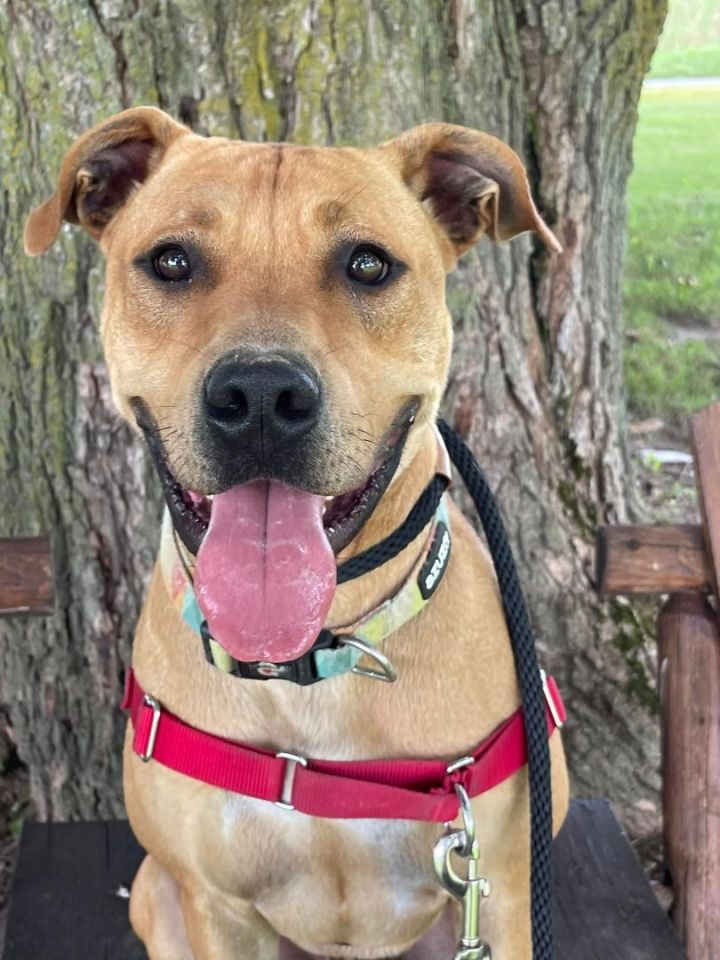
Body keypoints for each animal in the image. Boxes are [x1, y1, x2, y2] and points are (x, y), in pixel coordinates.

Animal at [23, 109, 568, 960]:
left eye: (369, 265)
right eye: (171, 261)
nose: (259, 396)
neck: (312, 660)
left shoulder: (502, 889)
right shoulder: (214, 907)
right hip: (155, 894)